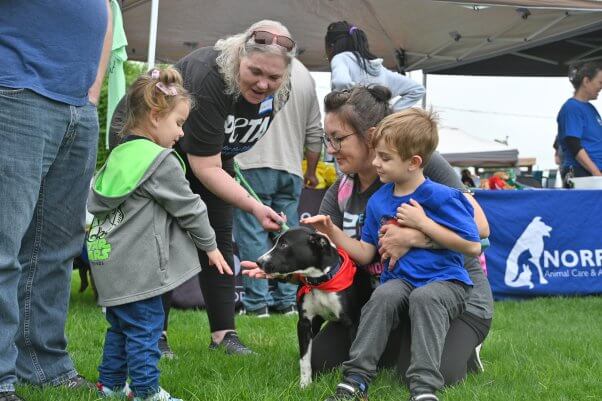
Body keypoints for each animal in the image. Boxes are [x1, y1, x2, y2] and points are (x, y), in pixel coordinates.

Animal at [255, 227, 368, 386]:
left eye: (284, 245)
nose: (258, 262)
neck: (319, 282)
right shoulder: (305, 323)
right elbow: (305, 358)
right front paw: (305, 384)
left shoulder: (353, 324)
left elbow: (353, 353)